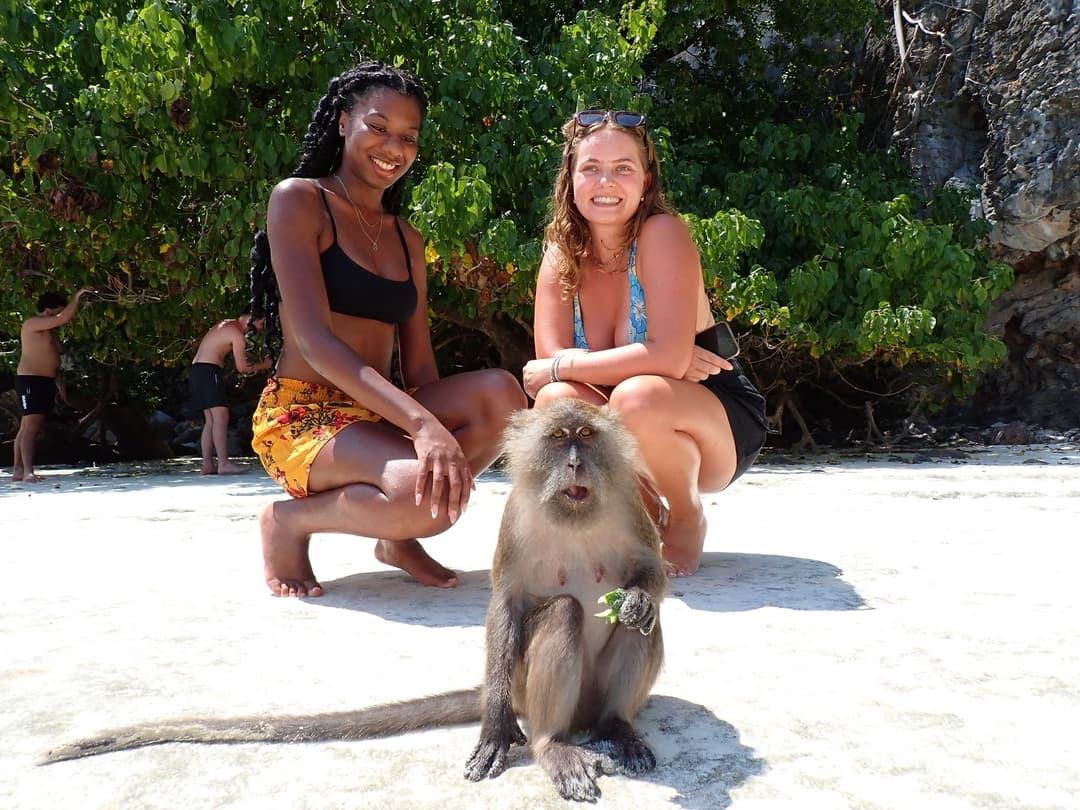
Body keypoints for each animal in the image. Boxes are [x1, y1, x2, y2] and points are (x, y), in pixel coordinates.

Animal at [39, 398, 667, 803]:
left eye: (587, 438)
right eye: (559, 440)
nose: (575, 464)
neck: (574, 512)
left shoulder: (628, 501)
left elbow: (649, 577)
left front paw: (635, 598)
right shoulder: (516, 519)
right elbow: (507, 605)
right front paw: (494, 729)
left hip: (595, 698)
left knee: (645, 629)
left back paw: (616, 725)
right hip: (532, 693)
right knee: (562, 614)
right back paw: (550, 744)